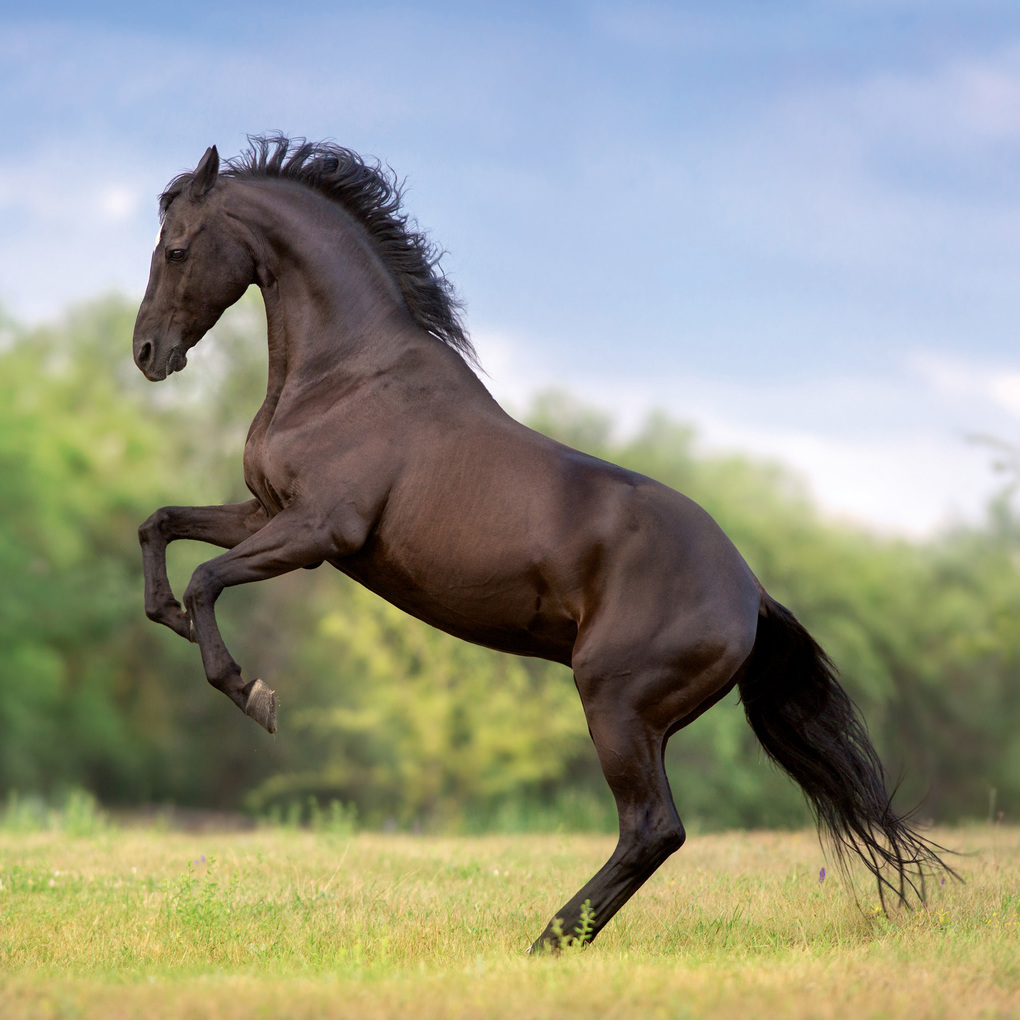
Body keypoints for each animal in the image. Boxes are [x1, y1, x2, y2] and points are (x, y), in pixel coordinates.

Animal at [132, 135, 948, 951]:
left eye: (176, 249)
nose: (147, 351)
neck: (347, 376)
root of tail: (751, 596)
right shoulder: (265, 512)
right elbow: (160, 526)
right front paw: (169, 617)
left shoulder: (316, 529)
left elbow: (207, 578)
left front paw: (251, 693)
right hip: (642, 721)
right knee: (653, 832)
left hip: (615, 705)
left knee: (653, 828)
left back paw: (546, 943)